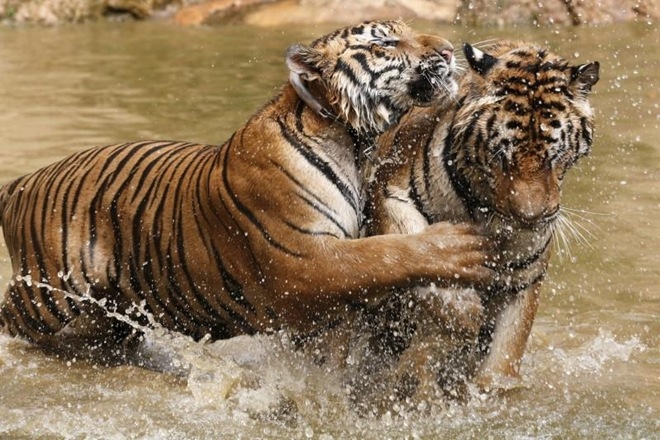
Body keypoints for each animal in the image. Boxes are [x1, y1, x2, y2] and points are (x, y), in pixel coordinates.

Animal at [0, 20, 494, 365]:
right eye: (386, 43)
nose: (448, 49)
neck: (356, 142)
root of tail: (20, 182)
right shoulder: (304, 261)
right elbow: (383, 255)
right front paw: (461, 247)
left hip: (117, 310)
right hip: (46, 295)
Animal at [358, 40, 600, 405]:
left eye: (554, 156)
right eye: (502, 155)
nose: (530, 218)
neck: (483, 209)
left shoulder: (524, 276)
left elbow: (506, 353)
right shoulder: (390, 195)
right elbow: (420, 254)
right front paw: (463, 309)